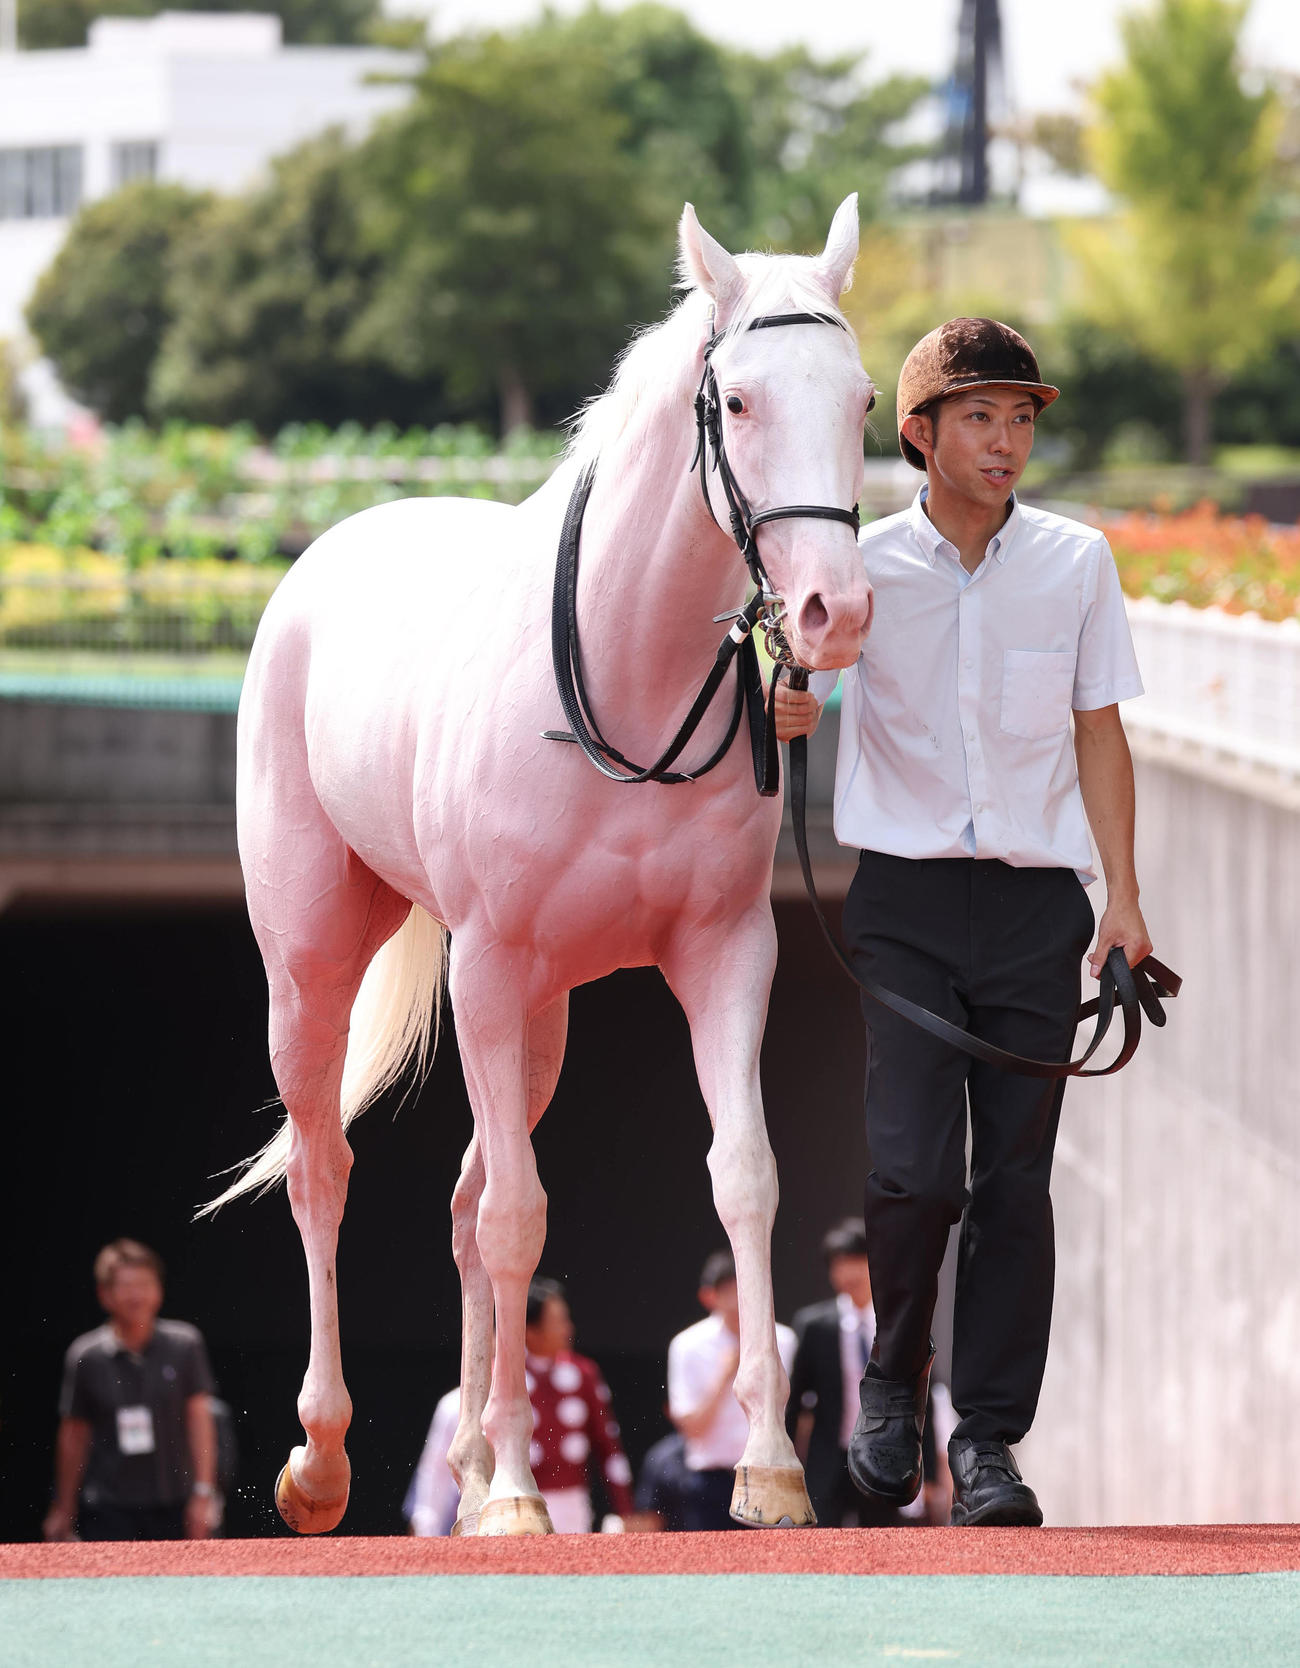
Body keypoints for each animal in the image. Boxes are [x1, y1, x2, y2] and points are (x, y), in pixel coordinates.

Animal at [207, 196, 875, 1537]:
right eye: (738, 404)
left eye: (867, 400)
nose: (834, 610)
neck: (623, 672)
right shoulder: (489, 961)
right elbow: (521, 1213)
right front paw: (519, 1489)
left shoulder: (726, 950)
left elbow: (744, 1176)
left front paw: (769, 1468)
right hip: (318, 955)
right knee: (324, 1166)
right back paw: (327, 1459)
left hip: (546, 1005)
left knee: (467, 1198)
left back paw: (465, 1464)